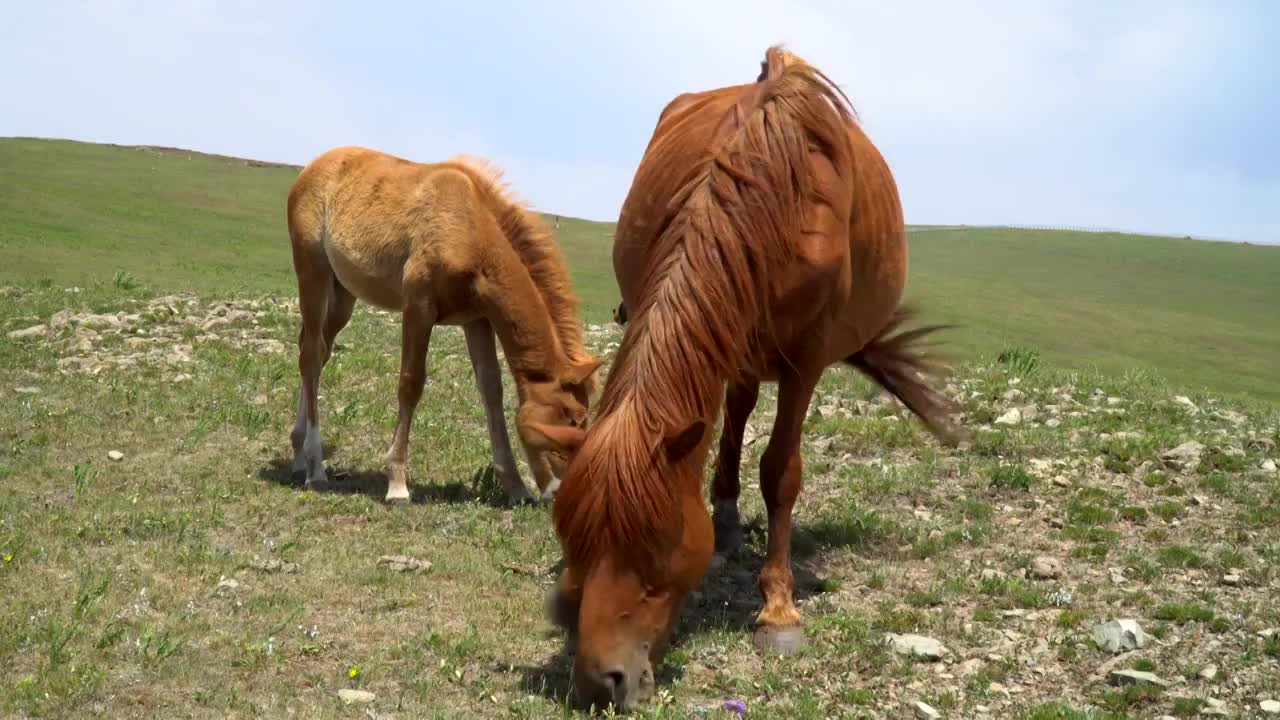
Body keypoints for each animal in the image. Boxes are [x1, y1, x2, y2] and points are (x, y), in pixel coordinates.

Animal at [288, 144, 601, 502]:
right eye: (573, 418)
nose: (563, 490)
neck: (470, 230)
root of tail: (313, 166)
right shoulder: (418, 309)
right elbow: (410, 384)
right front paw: (397, 485)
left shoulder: (477, 321)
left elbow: (491, 391)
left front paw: (516, 487)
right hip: (313, 274)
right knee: (311, 356)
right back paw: (315, 468)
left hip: (343, 294)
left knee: (320, 352)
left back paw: (298, 455)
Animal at [522, 46, 962, 707]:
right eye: (571, 538)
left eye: (653, 544)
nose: (602, 680)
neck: (769, 191)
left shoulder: (806, 360)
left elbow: (780, 473)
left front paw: (778, 608)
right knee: (736, 409)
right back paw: (727, 516)